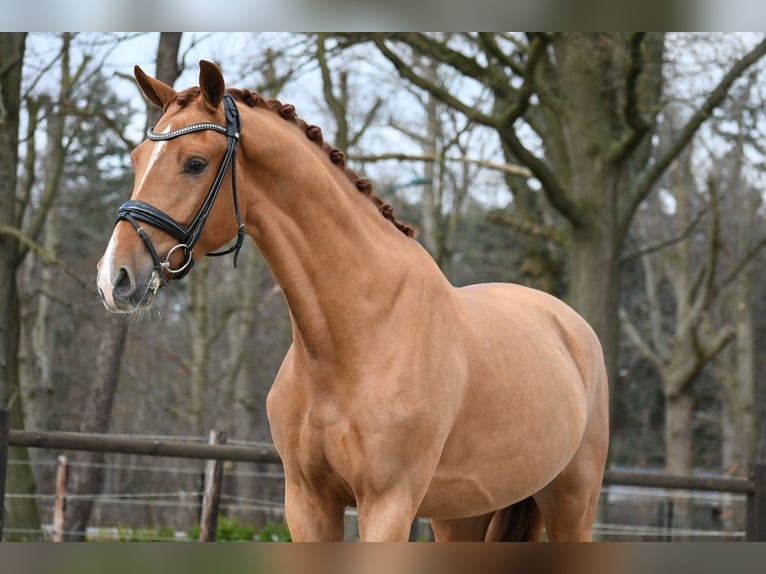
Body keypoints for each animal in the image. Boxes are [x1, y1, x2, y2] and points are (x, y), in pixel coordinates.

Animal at [96, 60, 609, 542]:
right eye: (137, 158)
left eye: (195, 163)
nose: (113, 278)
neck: (355, 337)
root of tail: (569, 325)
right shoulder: (307, 504)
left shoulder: (388, 505)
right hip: (462, 513)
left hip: (572, 503)